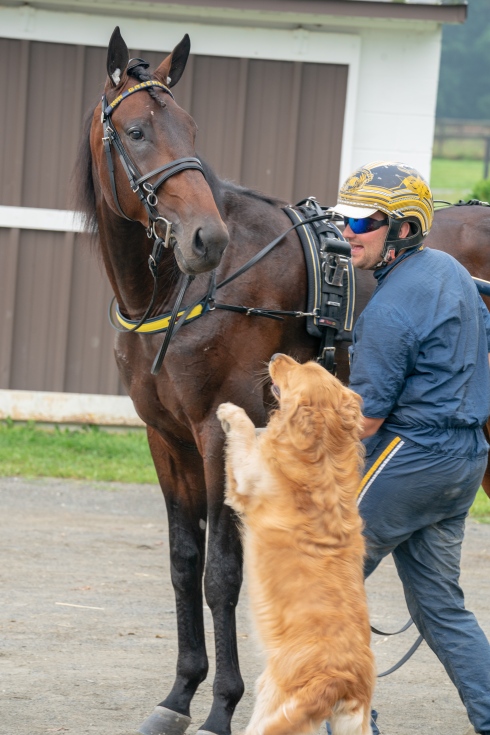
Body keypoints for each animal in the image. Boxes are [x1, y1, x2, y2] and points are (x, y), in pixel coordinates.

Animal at [217, 356, 376, 735]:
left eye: (293, 371)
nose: (277, 357)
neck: (324, 452)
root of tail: (340, 681)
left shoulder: (245, 479)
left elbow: (246, 433)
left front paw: (231, 412)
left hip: (271, 697)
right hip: (352, 724)